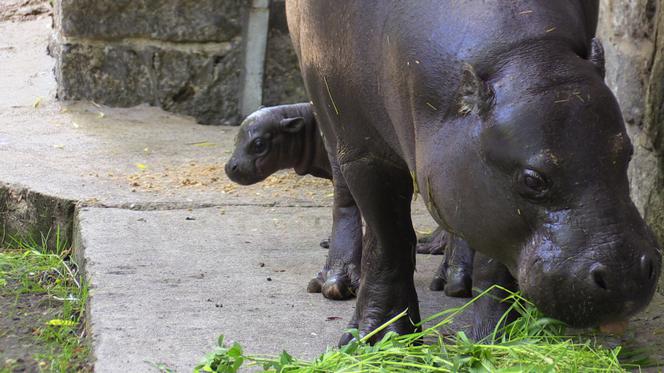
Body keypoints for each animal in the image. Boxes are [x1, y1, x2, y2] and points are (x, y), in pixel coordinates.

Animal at [288, 0, 660, 342]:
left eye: (627, 154)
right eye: (532, 180)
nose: (626, 276)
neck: (523, 55)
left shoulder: (490, 192)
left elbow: (493, 255)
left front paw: (495, 336)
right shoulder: (364, 151)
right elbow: (388, 241)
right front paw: (378, 339)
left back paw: (455, 279)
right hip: (326, 107)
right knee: (343, 191)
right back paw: (336, 283)